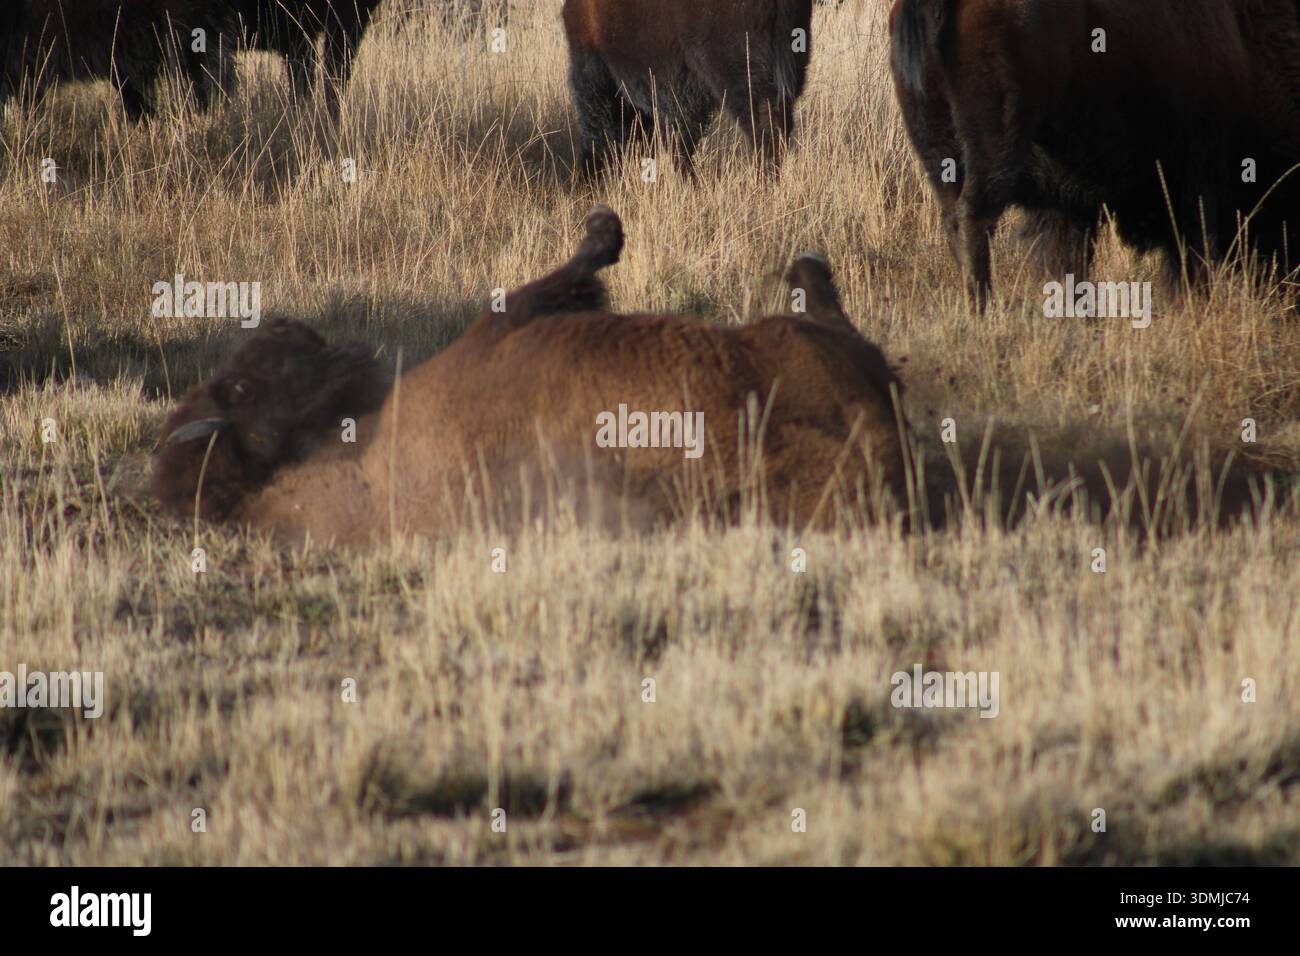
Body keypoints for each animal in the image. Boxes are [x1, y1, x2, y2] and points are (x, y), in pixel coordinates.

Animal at [153, 206, 907, 543]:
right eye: (239, 389)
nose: (283, 324)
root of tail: (876, 440)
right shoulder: (501, 329)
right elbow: (557, 280)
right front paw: (604, 230)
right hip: (803, 348)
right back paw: (806, 268)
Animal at [889, 0, 1300, 304]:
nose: (1285, 287)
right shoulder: (1195, 178)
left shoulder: (1067, 204)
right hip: (994, 149)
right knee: (975, 217)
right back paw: (983, 308)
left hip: (940, 154)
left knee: (953, 217)